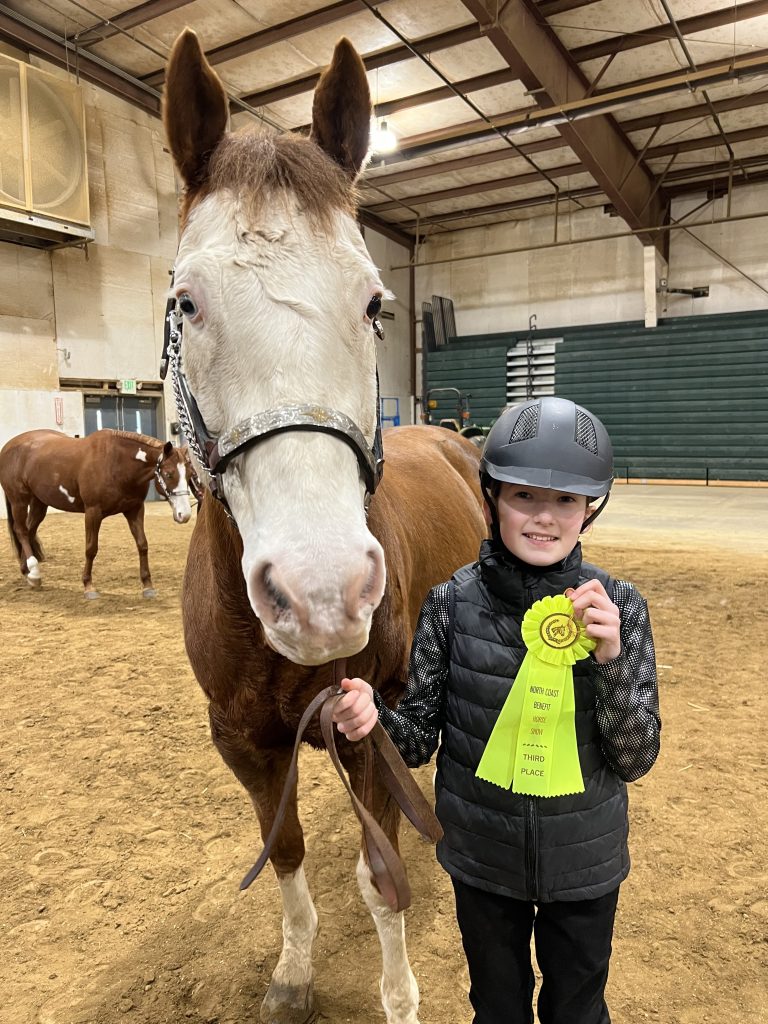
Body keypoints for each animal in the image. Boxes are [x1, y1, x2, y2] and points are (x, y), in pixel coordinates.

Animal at [0, 428, 194, 598]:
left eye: (190, 475)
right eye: (169, 474)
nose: (184, 515)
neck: (116, 462)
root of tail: (8, 446)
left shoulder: (135, 509)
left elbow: (142, 544)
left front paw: (147, 586)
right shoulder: (93, 512)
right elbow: (91, 548)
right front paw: (88, 586)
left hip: (39, 502)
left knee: (30, 530)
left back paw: (27, 571)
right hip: (19, 500)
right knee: (21, 531)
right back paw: (34, 573)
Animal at [162, 30, 487, 1024]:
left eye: (375, 303)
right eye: (186, 301)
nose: (321, 596)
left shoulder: (363, 725)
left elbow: (382, 880)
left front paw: (400, 995)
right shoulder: (246, 745)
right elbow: (290, 853)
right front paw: (295, 971)